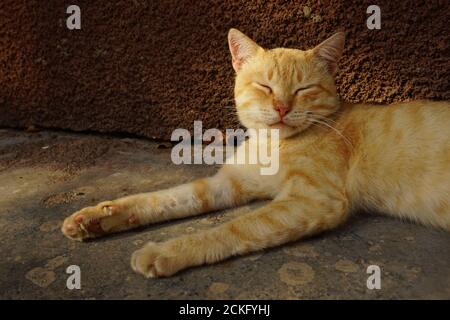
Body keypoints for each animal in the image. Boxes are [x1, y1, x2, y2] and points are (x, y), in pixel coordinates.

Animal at [61, 28, 448, 278]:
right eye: (265, 86)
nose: (281, 107)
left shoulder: (314, 200)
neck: (271, 145)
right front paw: (99, 217)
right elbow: (168, 197)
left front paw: (167, 251)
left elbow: (235, 228)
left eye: (304, 89)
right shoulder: (229, 183)